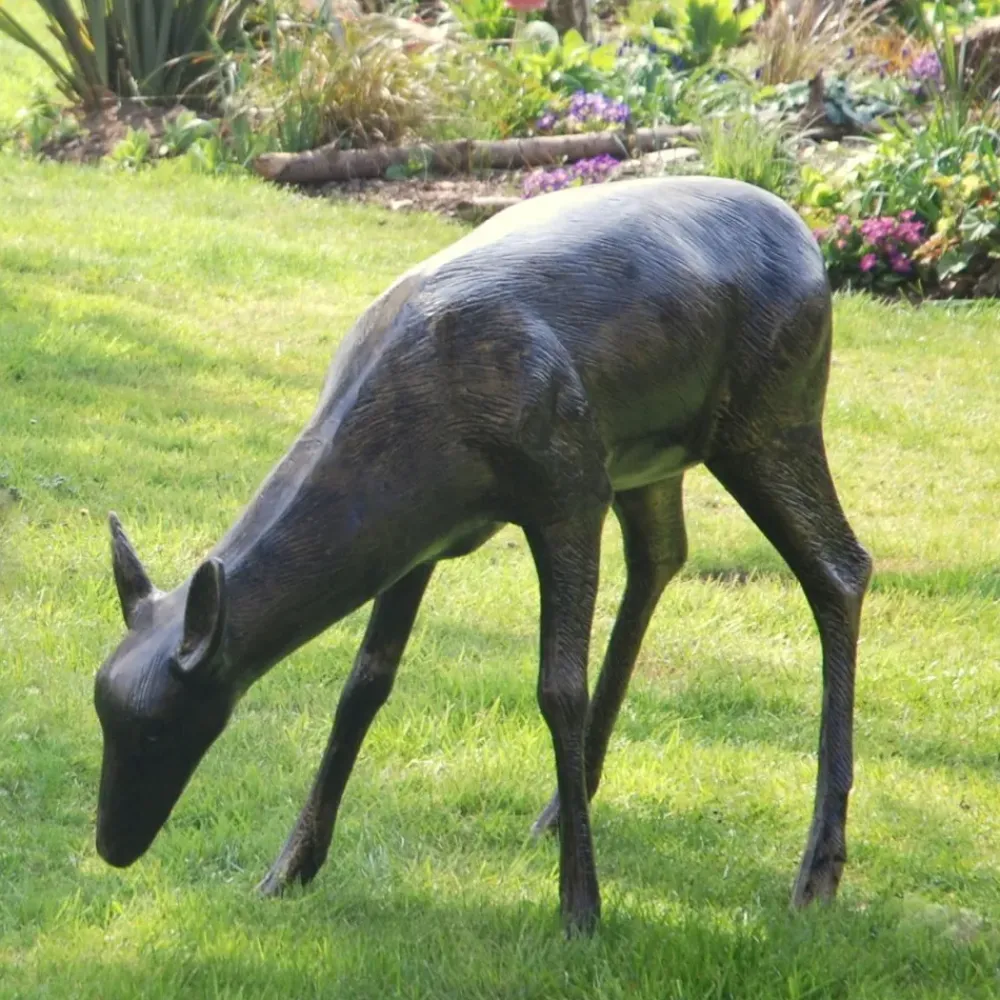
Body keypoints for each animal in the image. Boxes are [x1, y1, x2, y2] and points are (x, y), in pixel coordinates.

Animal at [93, 176, 872, 936]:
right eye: (102, 711)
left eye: (159, 729)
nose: (111, 847)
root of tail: (806, 240)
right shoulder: (419, 539)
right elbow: (364, 683)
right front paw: (287, 870)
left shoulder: (567, 492)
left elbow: (558, 690)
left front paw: (581, 911)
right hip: (647, 457)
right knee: (661, 555)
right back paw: (560, 807)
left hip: (772, 415)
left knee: (841, 568)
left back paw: (817, 872)